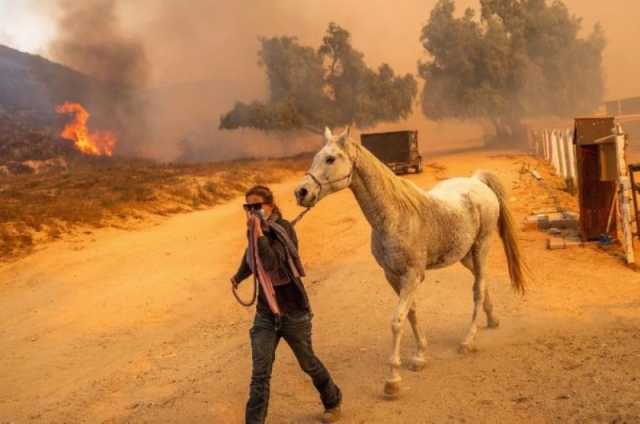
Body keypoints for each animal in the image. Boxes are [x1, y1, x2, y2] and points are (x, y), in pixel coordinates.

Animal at [296, 126, 524, 398]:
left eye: (330, 158)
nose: (301, 192)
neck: (395, 215)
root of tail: (478, 182)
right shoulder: (393, 276)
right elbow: (411, 313)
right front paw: (420, 356)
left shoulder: (412, 276)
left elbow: (397, 321)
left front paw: (393, 379)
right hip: (464, 255)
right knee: (483, 281)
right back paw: (492, 320)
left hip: (482, 247)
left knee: (477, 290)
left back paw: (468, 341)